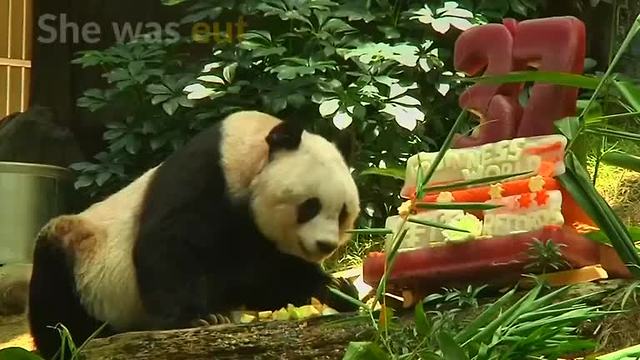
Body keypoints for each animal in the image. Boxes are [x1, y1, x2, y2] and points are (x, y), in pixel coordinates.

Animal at [27, 111, 362, 358]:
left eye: (343, 212)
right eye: (310, 206)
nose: (325, 245)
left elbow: (265, 278)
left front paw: (337, 288)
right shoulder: (204, 176)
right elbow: (169, 246)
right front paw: (199, 319)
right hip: (86, 261)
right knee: (56, 299)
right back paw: (73, 342)